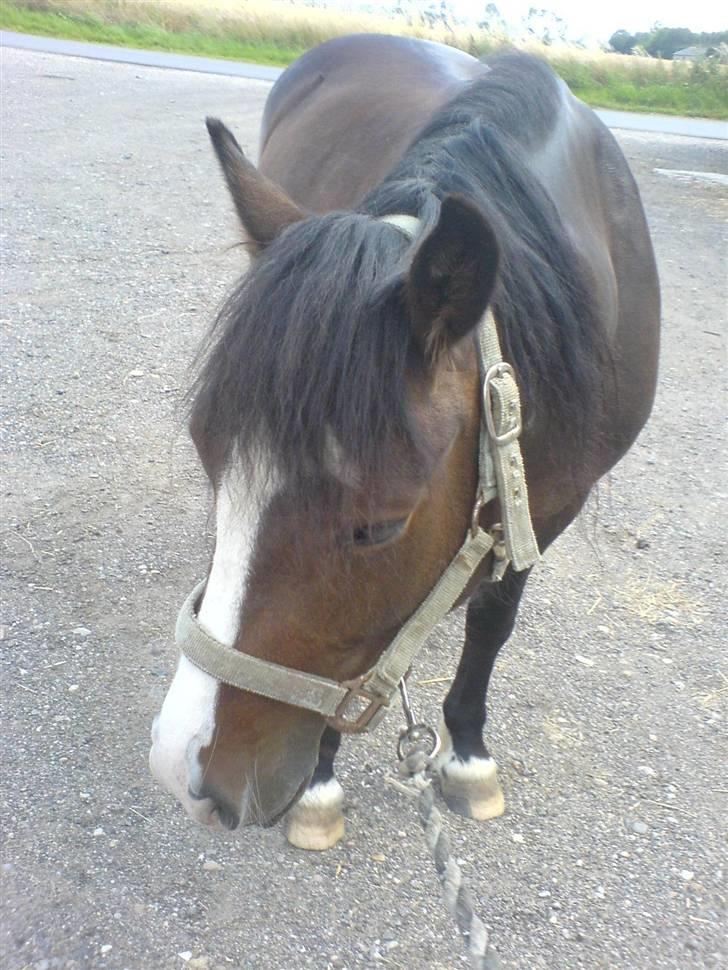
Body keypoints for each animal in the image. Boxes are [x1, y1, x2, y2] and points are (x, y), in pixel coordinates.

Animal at [149, 34, 660, 850]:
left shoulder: (549, 503)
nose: (187, 774)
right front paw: (322, 783)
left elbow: (491, 621)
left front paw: (469, 755)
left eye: (379, 526)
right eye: (207, 456)